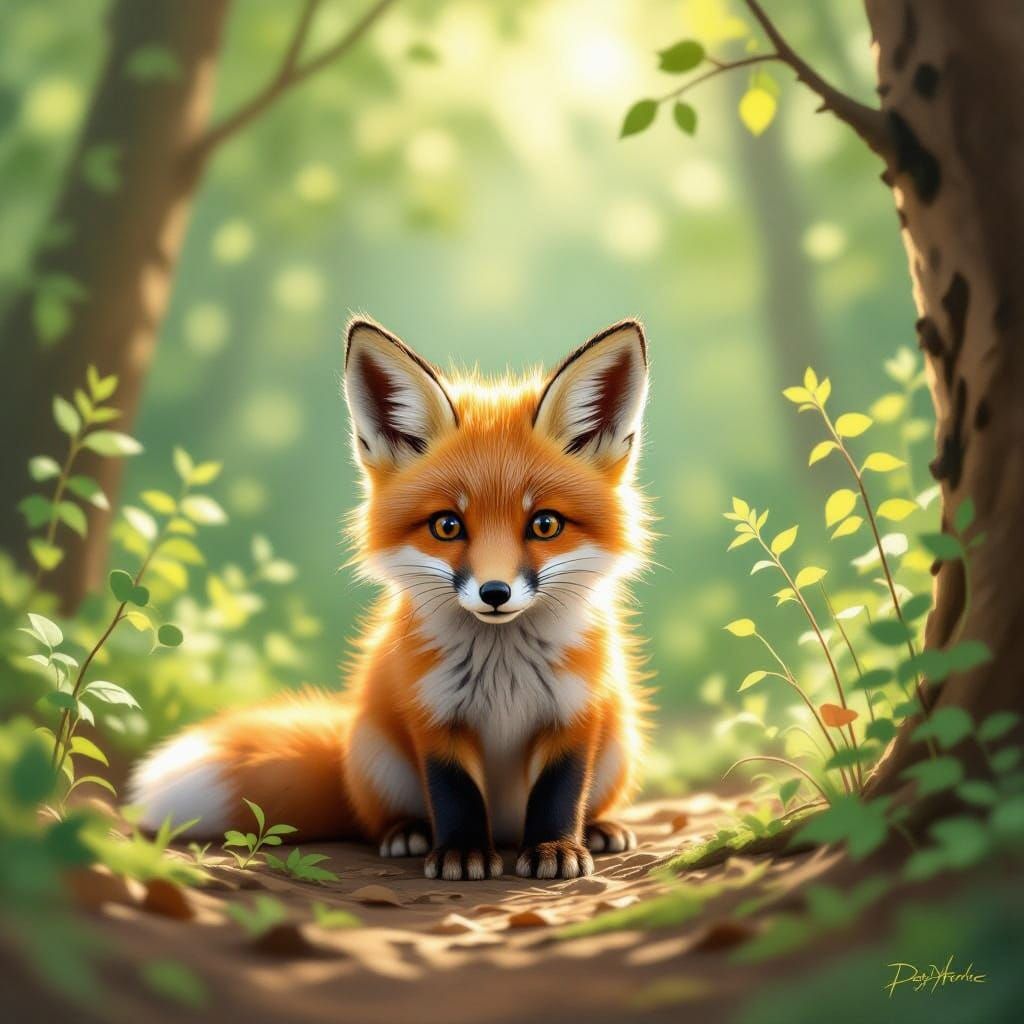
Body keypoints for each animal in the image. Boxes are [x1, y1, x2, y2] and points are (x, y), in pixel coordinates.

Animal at [129, 317, 653, 880]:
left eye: (545, 524)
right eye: (447, 526)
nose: (495, 593)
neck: (503, 671)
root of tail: (508, 830)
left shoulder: (576, 712)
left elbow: (560, 793)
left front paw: (556, 847)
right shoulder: (432, 714)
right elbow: (455, 795)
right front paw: (463, 853)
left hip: (620, 744)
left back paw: (599, 828)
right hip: (379, 759)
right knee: (378, 819)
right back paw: (409, 833)